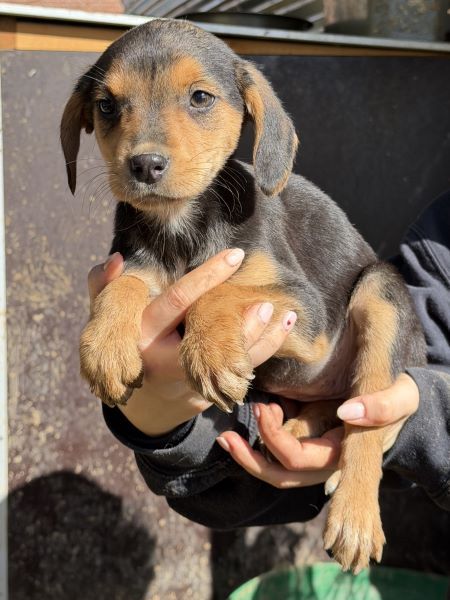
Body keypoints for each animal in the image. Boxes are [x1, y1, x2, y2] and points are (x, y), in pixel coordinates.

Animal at [60, 18, 426, 573]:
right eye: (106, 106)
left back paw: (356, 514)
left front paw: (210, 350)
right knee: (339, 406)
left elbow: (223, 285)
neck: (182, 226)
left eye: (200, 98)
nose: (144, 165)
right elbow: (125, 281)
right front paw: (104, 345)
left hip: (380, 292)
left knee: (366, 415)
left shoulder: (309, 314)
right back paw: (299, 430)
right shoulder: (137, 260)